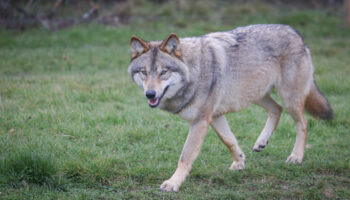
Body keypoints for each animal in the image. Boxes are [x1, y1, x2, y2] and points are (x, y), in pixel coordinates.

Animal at [127, 24, 332, 191]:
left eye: (164, 72)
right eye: (144, 72)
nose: (150, 94)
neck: (194, 71)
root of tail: (295, 32)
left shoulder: (200, 121)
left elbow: (185, 156)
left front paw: (173, 183)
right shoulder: (215, 116)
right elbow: (229, 140)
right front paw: (240, 162)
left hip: (289, 98)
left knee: (303, 122)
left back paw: (296, 156)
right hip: (255, 95)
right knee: (277, 109)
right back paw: (261, 142)